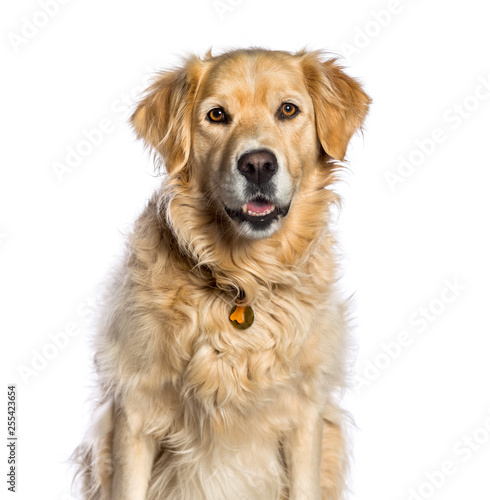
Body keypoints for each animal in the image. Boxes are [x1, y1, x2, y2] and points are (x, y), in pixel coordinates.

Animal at [72, 47, 370, 500]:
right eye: (216, 115)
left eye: (288, 109)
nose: (258, 164)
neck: (242, 278)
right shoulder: (134, 411)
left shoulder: (305, 417)